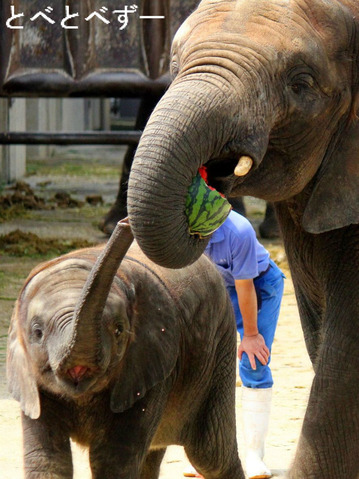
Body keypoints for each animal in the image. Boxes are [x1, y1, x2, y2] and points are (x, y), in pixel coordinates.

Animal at [6, 221, 245, 479]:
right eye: (37, 332)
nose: (125, 223)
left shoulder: (149, 360)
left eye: (119, 330)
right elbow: (47, 461)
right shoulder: (30, 382)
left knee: (212, 455)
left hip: (220, 346)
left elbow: (112, 459)